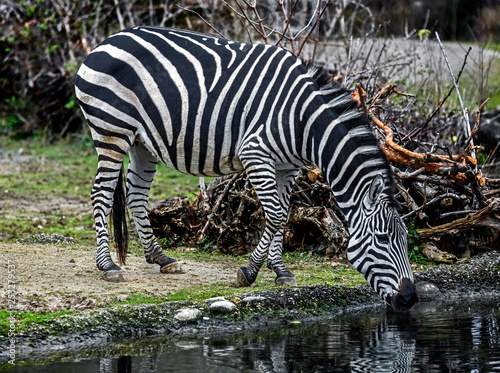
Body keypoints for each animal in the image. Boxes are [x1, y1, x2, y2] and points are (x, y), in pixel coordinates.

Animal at [74, 25, 418, 310]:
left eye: (404, 238)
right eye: (383, 239)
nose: (410, 299)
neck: (304, 123)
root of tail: (106, 40)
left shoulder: (287, 167)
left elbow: (284, 214)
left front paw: (281, 271)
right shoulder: (255, 154)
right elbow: (276, 215)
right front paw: (250, 271)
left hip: (141, 142)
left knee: (135, 195)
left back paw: (160, 257)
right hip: (112, 131)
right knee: (101, 194)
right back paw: (108, 266)